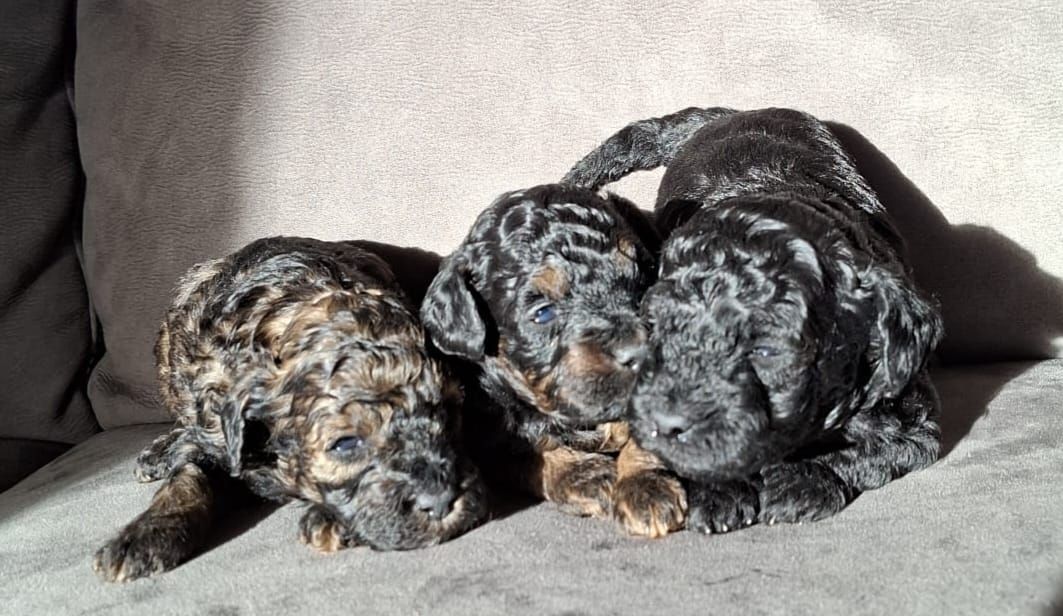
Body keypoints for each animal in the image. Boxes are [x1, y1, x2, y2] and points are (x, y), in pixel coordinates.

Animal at [93, 236, 486, 582]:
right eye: (345, 444)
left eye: (451, 412)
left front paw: (330, 519)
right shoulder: (213, 431)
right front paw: (142, 537)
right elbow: (189, 476)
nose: (441, 500)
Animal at [420, 183, 687, 537]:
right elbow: (527, 450)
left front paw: (645, 486)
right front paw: (586, 474)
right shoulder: (488, 431)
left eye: (641, 276)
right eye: (543, 313)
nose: (641, 351)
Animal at [564, 107, 944, 532]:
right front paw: (717, 491)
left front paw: (801, 482)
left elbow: (876, 450)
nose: (664, 423)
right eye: (658, 328)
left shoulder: (916, 421)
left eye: (766, 351)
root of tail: (730, 113)